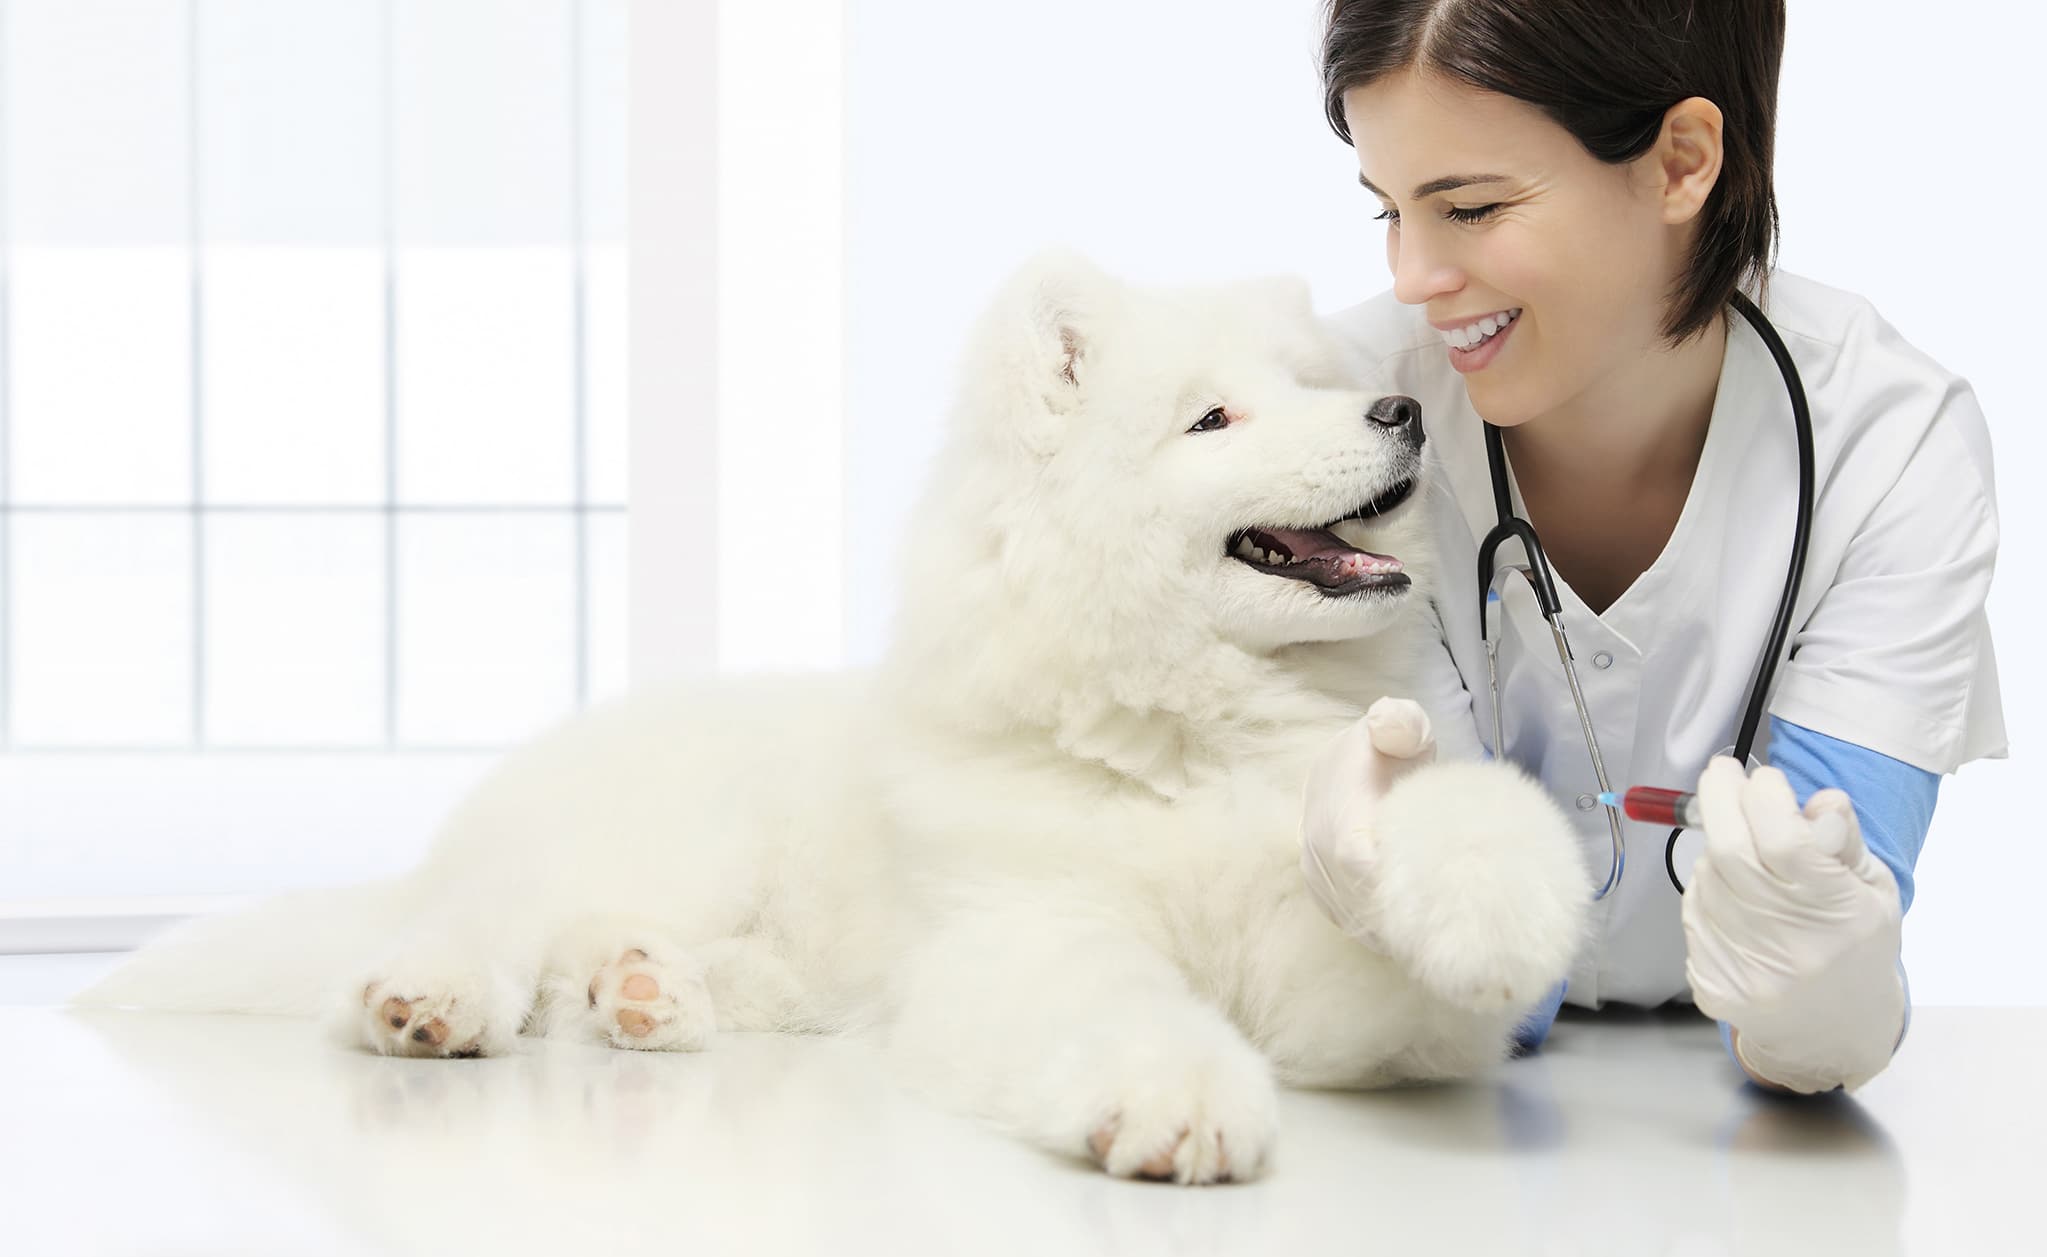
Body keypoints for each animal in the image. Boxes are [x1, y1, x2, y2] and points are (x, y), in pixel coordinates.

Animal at [75, 248, 1580, 1195]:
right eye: (1212, 418)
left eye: (1316, 385)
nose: (1401, 410)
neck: (1184, 743)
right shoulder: (1024, 936)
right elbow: (1118, 1005)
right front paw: (1178, 1098)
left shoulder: (1329, 986)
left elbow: (1414, 900)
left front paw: (1494, 899)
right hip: (656, 838)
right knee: (465, 932)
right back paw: (434, 1001)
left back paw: (648, 993)